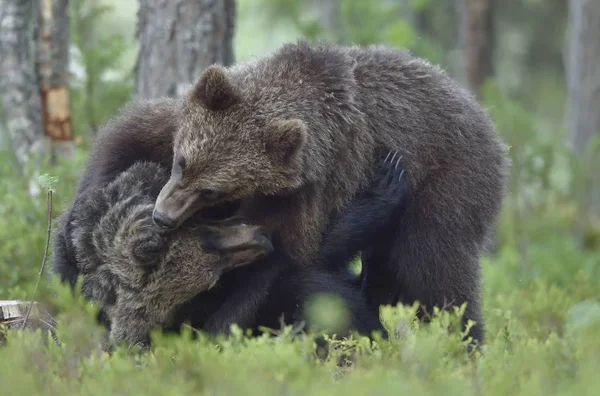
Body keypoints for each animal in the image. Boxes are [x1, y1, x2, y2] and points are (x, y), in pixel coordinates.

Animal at [151, 38, 510, 344]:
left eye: (211, 191)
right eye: (182, 162)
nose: (163, 216)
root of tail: (486, 121)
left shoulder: (318, 189)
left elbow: (297, 258)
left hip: (448, 181)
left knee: (437, 269)